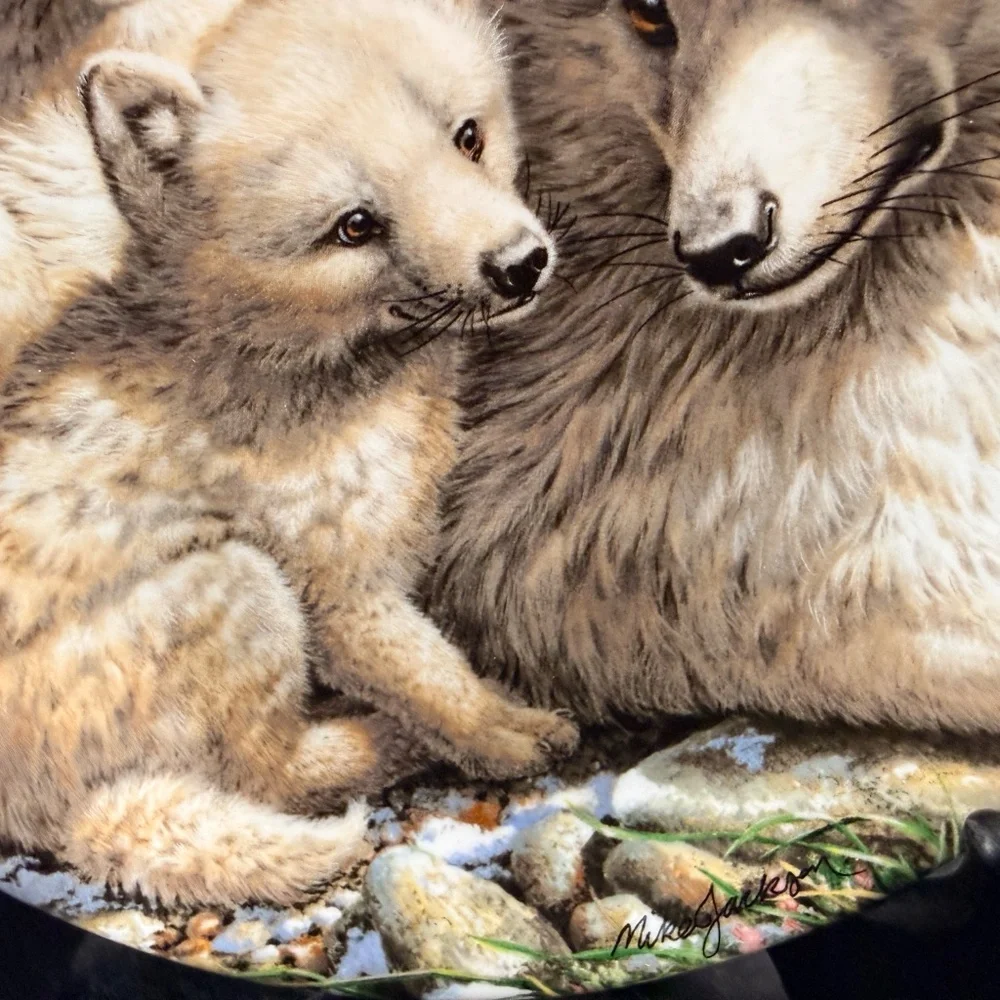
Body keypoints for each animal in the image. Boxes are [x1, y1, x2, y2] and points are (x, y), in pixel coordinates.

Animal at [0, 0, 575, 907]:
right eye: (354, 226)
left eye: (467, 138)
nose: (521, 265)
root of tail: (53, 814)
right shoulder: (340, 590)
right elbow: (438, 680)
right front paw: (510, 734)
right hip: (240, 585)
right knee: (272, 773)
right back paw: (384, 743)